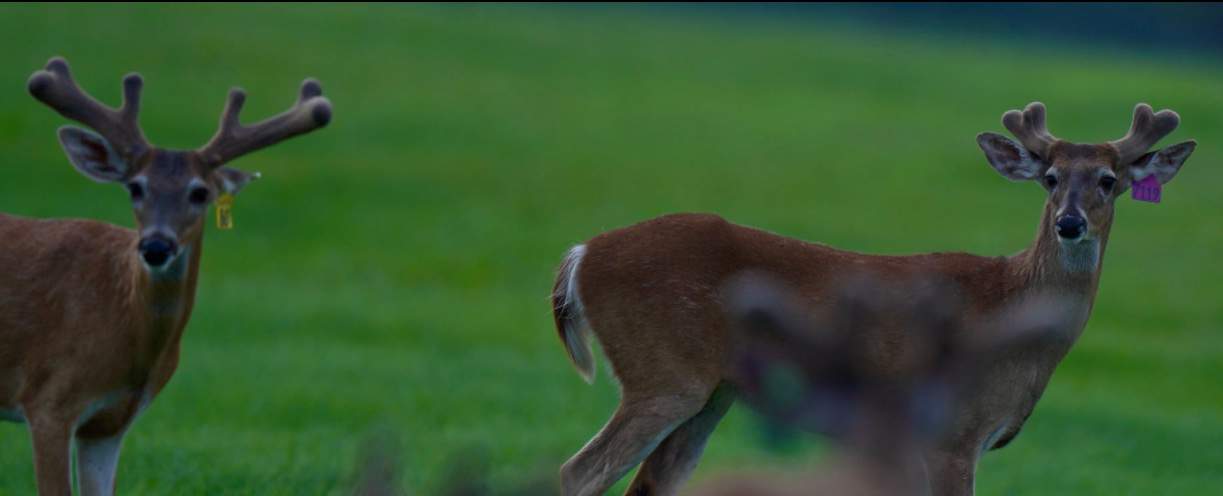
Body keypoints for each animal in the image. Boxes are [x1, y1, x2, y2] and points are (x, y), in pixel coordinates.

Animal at [550, 101, 1196, 496]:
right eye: (1051, 177)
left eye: (1108, 180)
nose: (1069, 223)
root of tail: (581, 255)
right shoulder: (952, 432)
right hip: (665, 373)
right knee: (576, 473)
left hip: (714, 393)